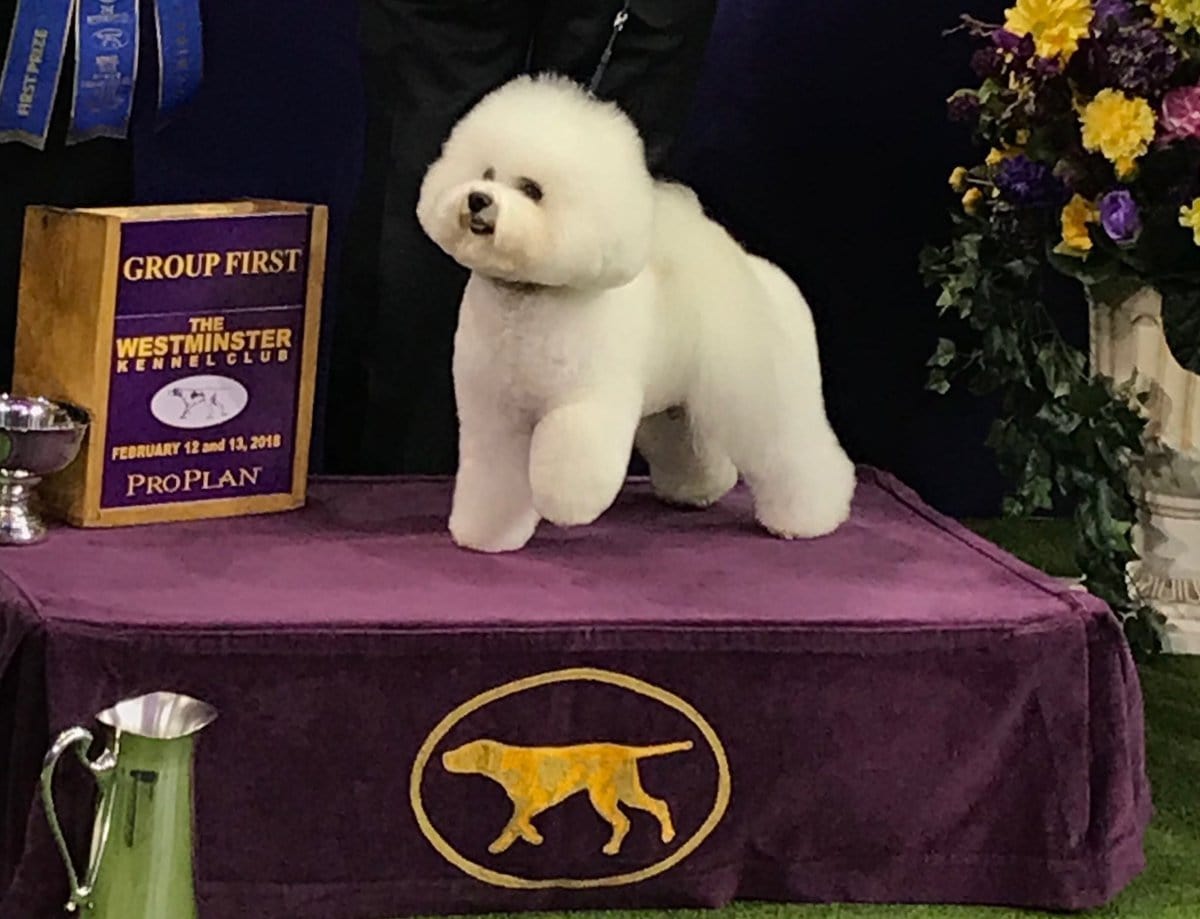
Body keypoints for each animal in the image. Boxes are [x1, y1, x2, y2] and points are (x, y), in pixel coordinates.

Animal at [417, 75, 859, 551]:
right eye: (485, 174)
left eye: (532, 190)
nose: (478, 199)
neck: (527, 298)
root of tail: (761, 273)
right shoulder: (494, 413)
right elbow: (493, 475)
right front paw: (486, 534)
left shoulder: (587, 399)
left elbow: (571, 452)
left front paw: (563, 503)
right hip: (677, 405)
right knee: (692, 445)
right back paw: (696, 490)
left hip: (765, 393)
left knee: (794, 451)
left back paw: (809, 518)